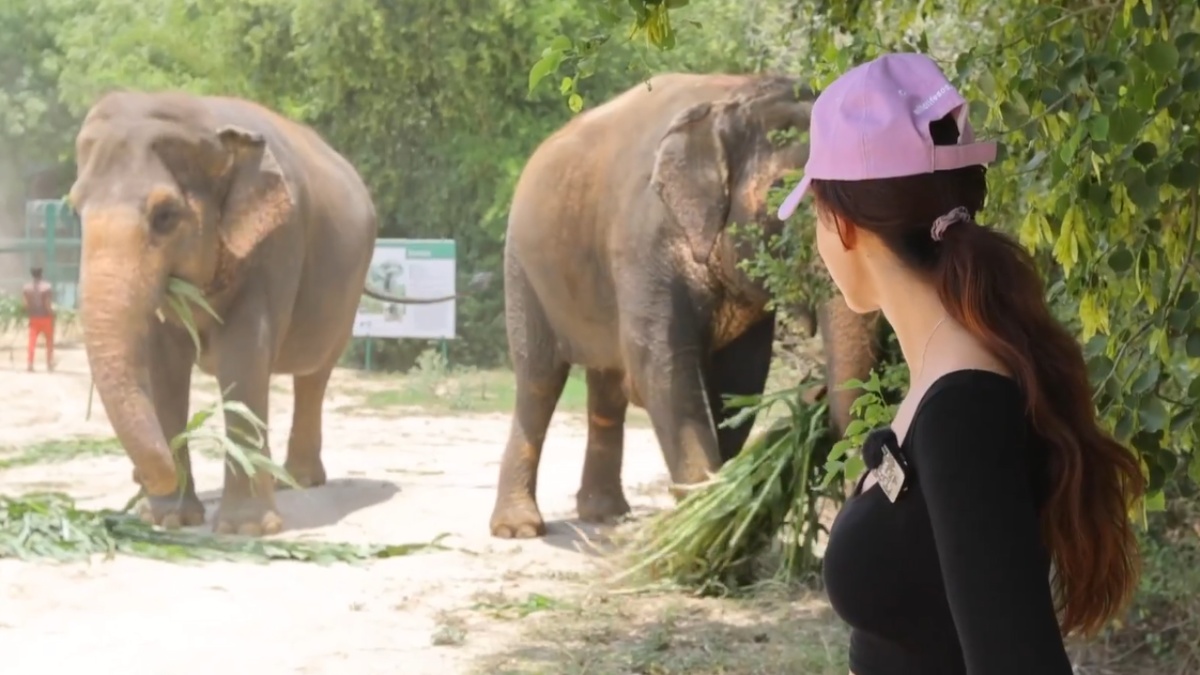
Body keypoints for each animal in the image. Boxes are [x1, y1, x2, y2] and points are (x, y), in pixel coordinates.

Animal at [69, 90, 458, 535]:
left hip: (346, 291)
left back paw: (300, 480)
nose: (147, 479)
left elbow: (244, 354)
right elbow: (163, 363)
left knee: (315, 374)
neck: (205, 118)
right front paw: (170, 519)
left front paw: (246, 529)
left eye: (165, 216)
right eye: (75, 210)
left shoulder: (277, 243)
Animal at [489, 73, 883, 539]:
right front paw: (708, 513)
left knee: (606, 385)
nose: (815, 393)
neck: (735, 98)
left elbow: (739, 381)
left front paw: (723, 507)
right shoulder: (644, 241)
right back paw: (519, 528)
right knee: (538, 381)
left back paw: (605, 514)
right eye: (783, 193)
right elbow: (663, 370)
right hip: (522, 270)